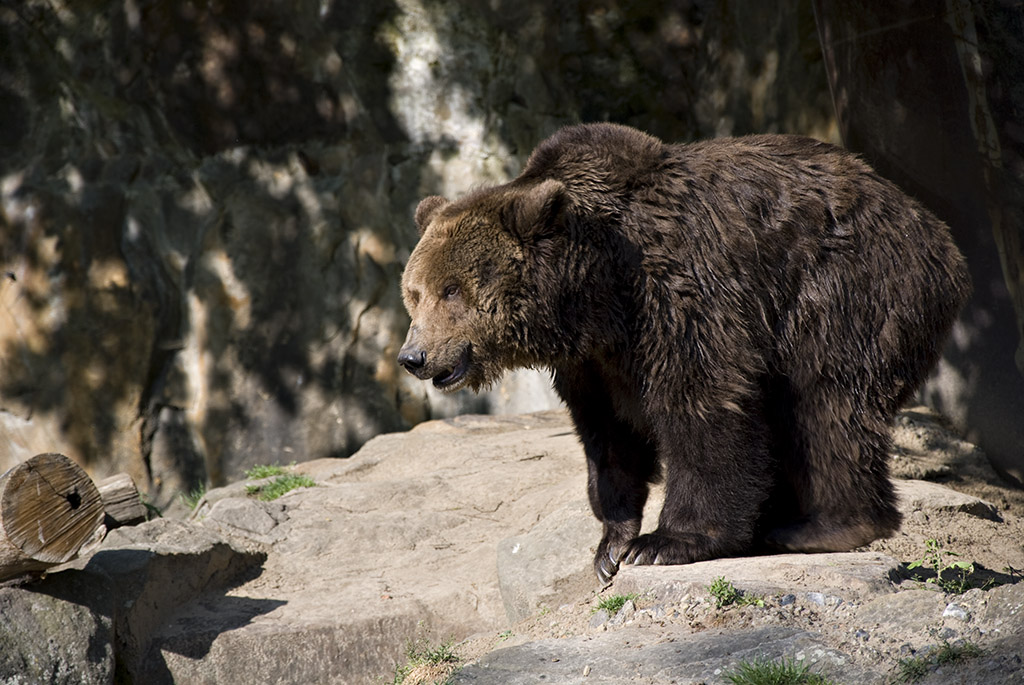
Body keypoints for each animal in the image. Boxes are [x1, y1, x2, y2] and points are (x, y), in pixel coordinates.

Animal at [397, 123, 971, 584]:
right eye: (415, 293)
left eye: (452, 290)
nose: (414, 356)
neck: (596, 294)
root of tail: (935, 229)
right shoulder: (593, 362)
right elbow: (607, 437)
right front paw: (610, 546)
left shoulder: (681, 293)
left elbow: (702, 402)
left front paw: (664, 543)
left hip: (846, 287)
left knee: (826, 402)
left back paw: (822, 526)